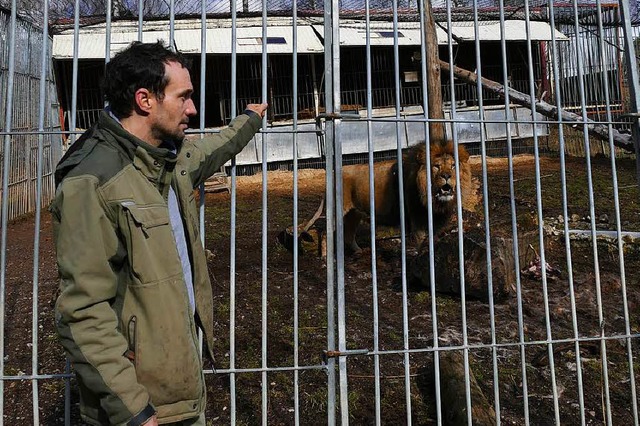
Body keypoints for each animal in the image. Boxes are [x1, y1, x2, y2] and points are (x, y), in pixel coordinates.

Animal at [342, 140, 478, 253]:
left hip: (354, 214)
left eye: (453, 166)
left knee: (348, 236)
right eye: (436, 166)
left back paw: (359, 251)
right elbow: (420, 241)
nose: (446, 176)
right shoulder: (416, 218)